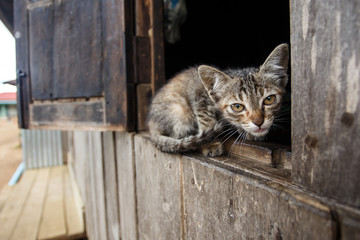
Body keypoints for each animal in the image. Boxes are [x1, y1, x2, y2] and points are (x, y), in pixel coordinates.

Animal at [147, 43, 290, 157]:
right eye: (237, 107)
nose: (259, 122)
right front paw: (210, 143)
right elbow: (206, 120)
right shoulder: (200, 95)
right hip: (180, 112)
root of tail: (151, 123)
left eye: (269, 99)